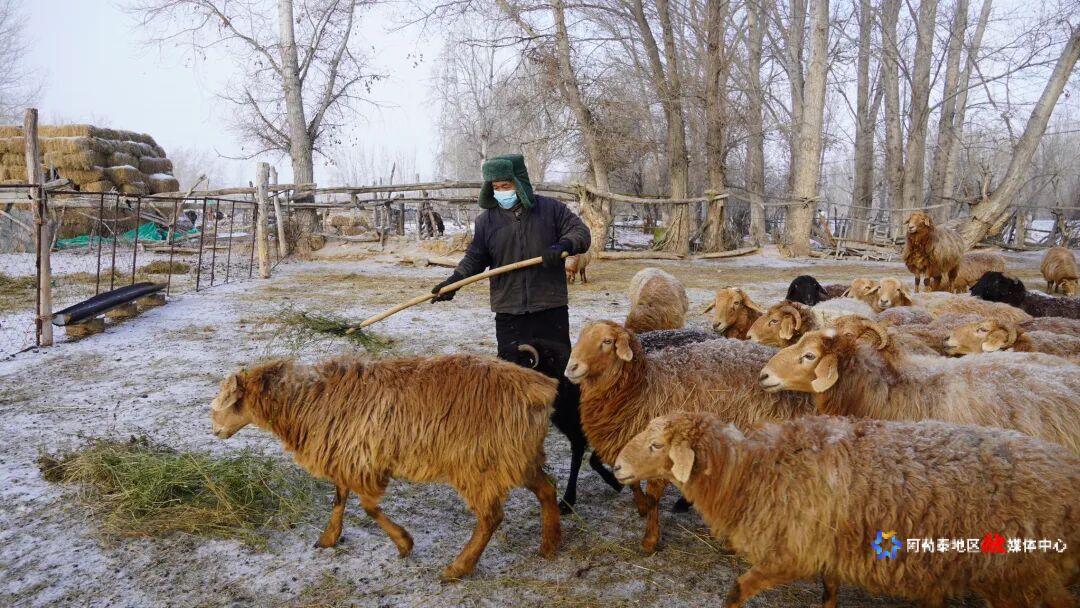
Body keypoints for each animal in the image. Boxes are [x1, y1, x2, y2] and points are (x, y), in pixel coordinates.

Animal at [209, 355, 562, 581]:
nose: (215, 431)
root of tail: (540, 388)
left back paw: (457, 569)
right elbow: (339, 498)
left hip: (479, 464)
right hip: (518, 456)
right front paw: (329, 538)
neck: (309, 399)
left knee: (491, 517)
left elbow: (367, 506)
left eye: (230, 403)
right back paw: (548, 545)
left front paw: (404, 543)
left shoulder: (365, 459)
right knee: (547, 490)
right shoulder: (347, 455)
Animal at [564, 321, 814, 553]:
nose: (571, 368)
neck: (643, 388)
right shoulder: (628, 447)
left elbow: (653, 496)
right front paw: (642, 508)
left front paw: (650, 540)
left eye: (607, 341)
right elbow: (633, 483)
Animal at [612, 412, 1080, 608]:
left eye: (657, 445)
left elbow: (737, 589)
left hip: (1018, 578)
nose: (616, 465)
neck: (751, 473)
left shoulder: (791, 554)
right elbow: (830, 589)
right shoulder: (827, 545)